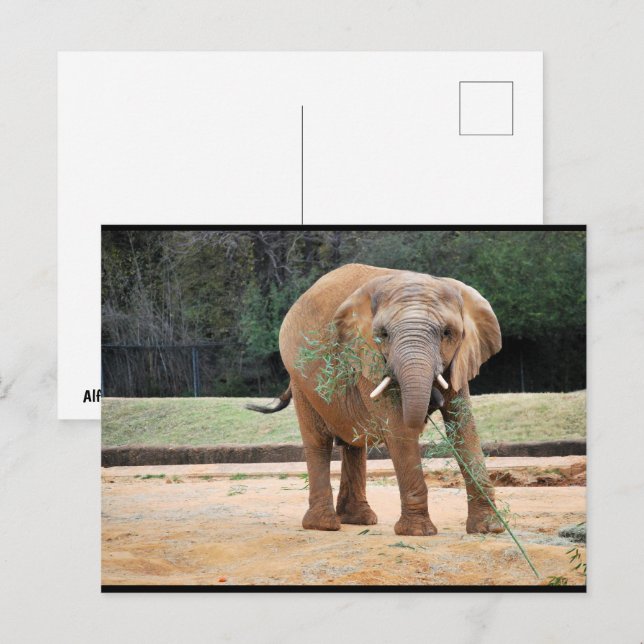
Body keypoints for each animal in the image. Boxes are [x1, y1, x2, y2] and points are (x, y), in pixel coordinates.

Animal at [247, 263, 503, 536]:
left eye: (447, 333)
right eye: (383, 335)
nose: (432, 402)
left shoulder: (460, 360)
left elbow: (464, 426)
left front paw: (489, 528)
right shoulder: (367, 358)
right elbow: (400, 429)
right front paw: (417, 532)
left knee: (353, 443)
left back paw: (358, 519)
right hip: (300, 379)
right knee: (318, 441)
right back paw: (323, 525)